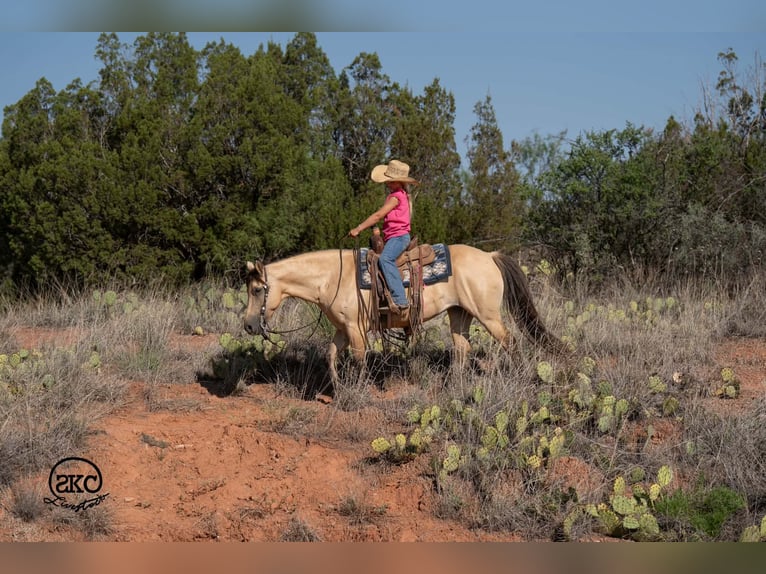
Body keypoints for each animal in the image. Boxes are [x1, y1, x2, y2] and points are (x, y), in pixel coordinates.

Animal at [243, 244, 565, 382]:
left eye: (257, 290)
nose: (248, 326)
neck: (333, 277)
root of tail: (489, 256)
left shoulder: (357, 329)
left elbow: (359, 361)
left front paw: (357, 390)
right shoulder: (342, 329)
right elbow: (331, 355)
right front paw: (336, 387)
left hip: (488, 316)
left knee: (510, 342)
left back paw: (522, 377)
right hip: (459, 314)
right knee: (463, 348)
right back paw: (454, 387)